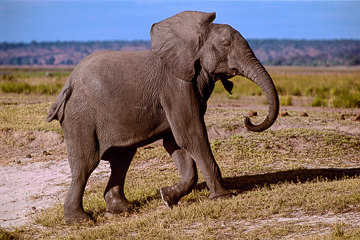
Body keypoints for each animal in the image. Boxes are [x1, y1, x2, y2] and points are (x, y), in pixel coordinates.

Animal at [46, 10, 280, 224]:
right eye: (225, 44)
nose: (248, 118)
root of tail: (67, 86)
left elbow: (176, 142)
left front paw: (167, 198)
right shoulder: (176, 86)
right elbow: (191, 135)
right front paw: (223, 197)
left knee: (121, 158)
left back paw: (122, 209)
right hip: (81, 117)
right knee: (85, 165)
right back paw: (80, 220)